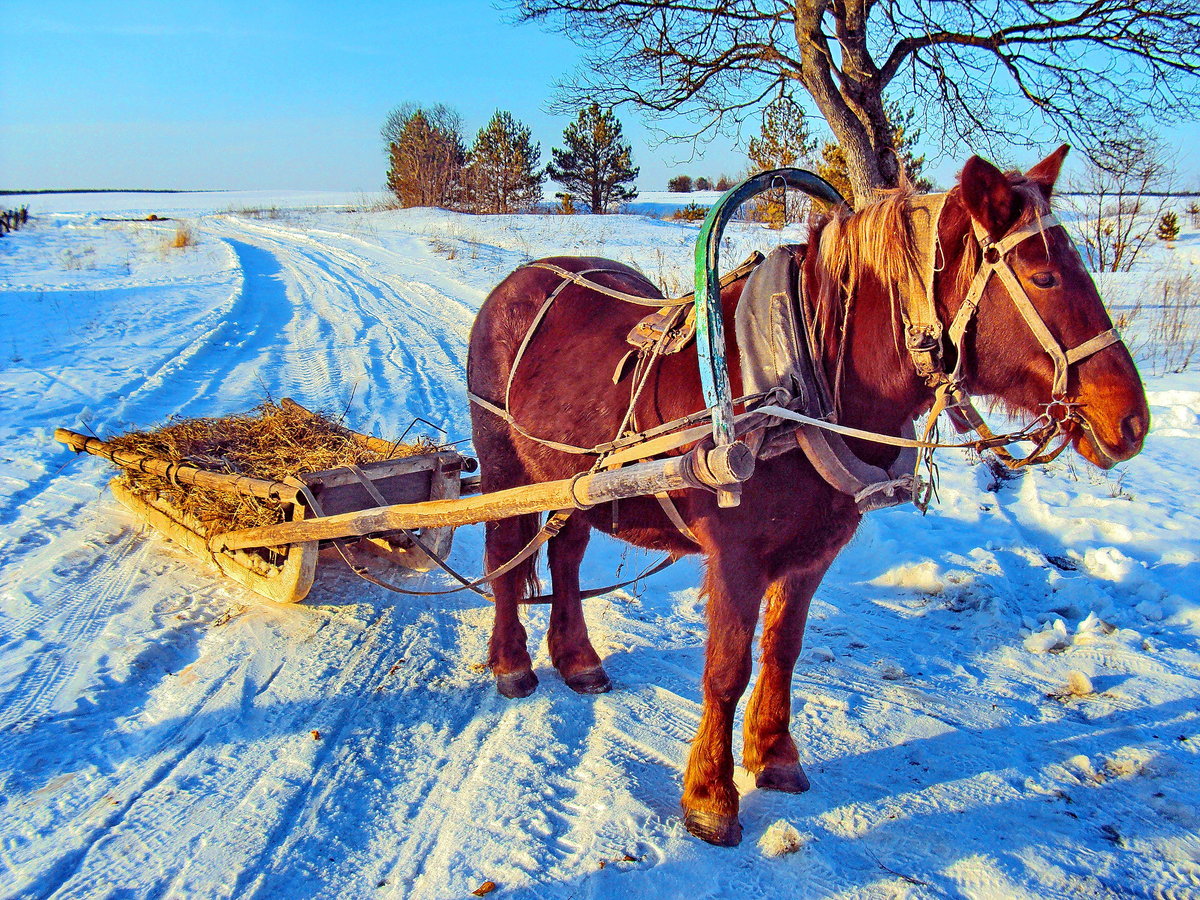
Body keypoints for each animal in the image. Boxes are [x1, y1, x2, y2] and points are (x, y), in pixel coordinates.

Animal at [466, 147, 1149, 846]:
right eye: (1043, 277)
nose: (1130, 421)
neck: (801, 385)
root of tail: (518, 280)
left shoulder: (813, 554)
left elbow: (782, 651)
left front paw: (773, 755)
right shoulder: (736, 558)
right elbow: (727, 669)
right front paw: (711, 797)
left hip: (571, 480)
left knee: (567, 555)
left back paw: (577, 658)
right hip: (503, 465)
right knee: (504, 557)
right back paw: (511, 663)